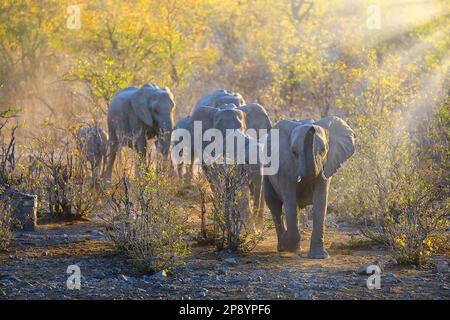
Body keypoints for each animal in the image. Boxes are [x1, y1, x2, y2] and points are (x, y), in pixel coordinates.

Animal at [264, 116, 356, 258]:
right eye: (294, 153)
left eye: (323, 150)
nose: (311, 128)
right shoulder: (284, 165)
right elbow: (290, 200)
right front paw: (289, 245)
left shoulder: (327, 165)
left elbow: (320, 201)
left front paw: (319, 256)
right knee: (274, 204)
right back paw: (283, 247)